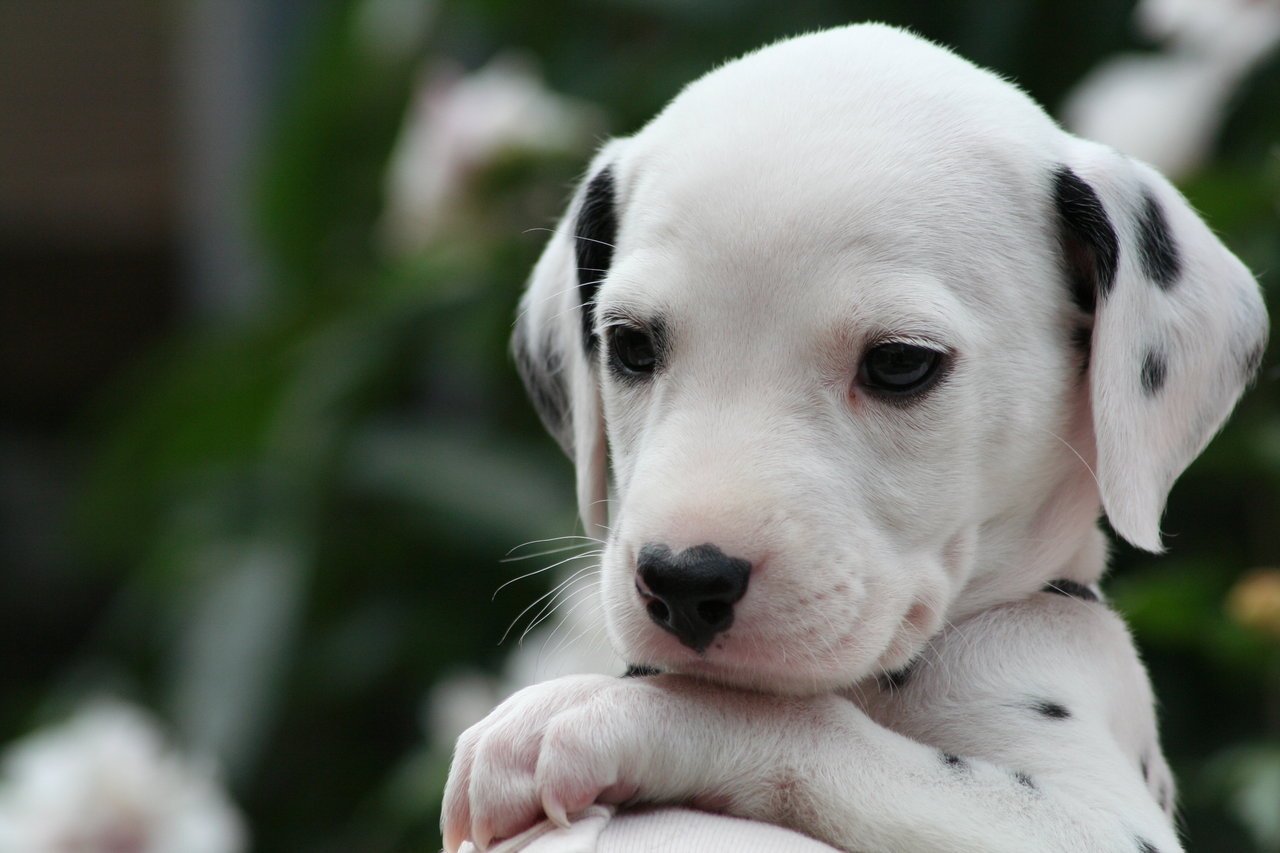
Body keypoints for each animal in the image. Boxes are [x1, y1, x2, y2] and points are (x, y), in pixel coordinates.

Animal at [442, 21, 1269, 850]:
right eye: (630, 346)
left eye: (901, 363)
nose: (683, 581)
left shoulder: (1091, 818)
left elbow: (800, 720)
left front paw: (591, 715)